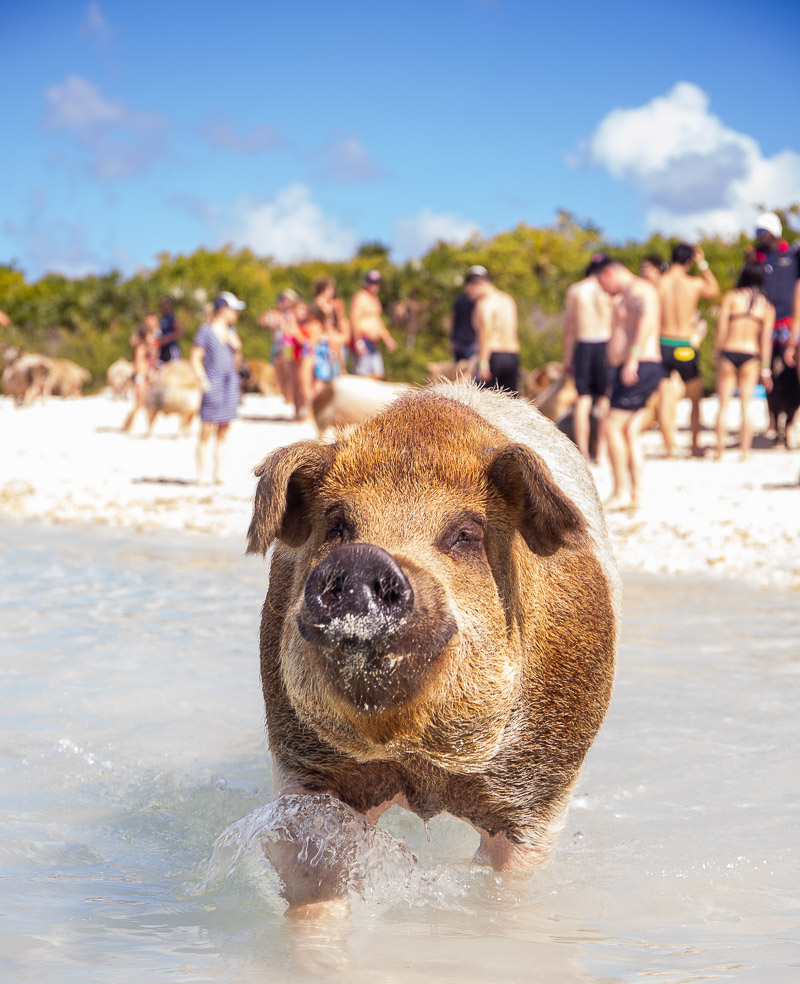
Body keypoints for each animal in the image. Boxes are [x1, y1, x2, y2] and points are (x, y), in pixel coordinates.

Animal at [247, 376, 620, 908]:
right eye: (338, 525)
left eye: (465, 534)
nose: (364, 559)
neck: (419, 760)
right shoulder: (302, 759)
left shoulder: (541, 787)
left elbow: (510, 877)